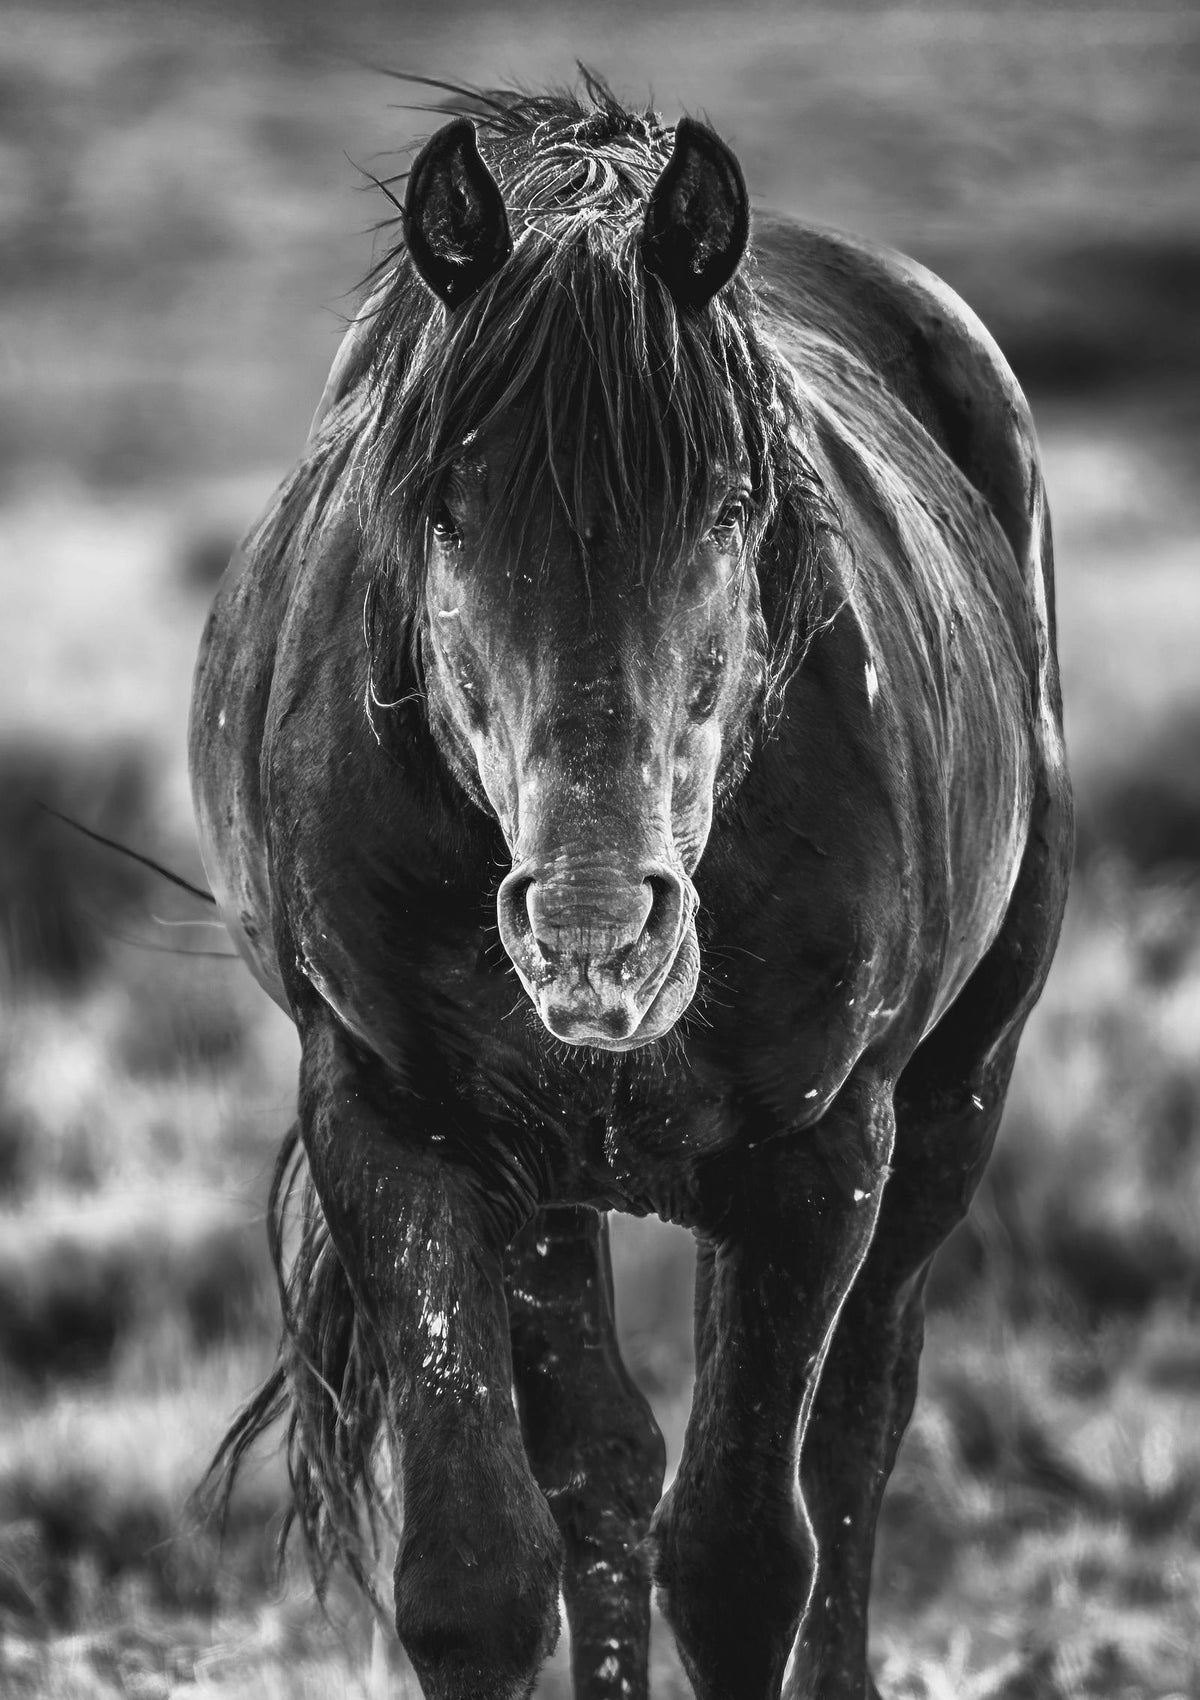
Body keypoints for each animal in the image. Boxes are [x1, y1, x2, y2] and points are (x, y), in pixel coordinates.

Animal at [190, 75, 1072, 1700]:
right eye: (445, 506)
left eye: (727, 504)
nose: (597, 937)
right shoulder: (397, 1126)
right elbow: (483, 1568)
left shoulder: (817, 1154)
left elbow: (744, 1558)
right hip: (547, 1185)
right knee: (604, 1473)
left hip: (954, 1099)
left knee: (859, 1428)